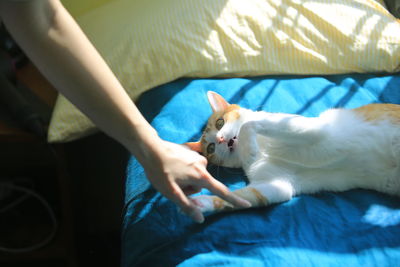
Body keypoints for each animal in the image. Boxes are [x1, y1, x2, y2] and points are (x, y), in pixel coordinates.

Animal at [184, 92, 400, 216]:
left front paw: (250, 149)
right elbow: (239, 197)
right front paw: (201, 203)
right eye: (211, 148)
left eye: (220, 122)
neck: (264, 149)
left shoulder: (311, 129)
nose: (220, 139)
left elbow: (249, 124)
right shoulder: (277, 184)